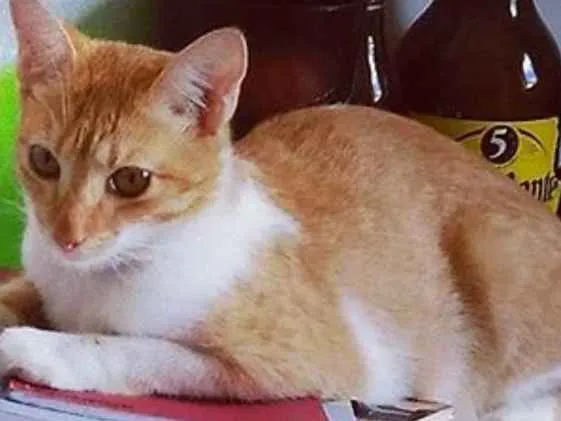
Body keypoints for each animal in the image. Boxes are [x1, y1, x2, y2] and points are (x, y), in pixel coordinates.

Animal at [3, 0, 561, 420]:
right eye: (43, 161)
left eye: (130, 180)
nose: (66, 236)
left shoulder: (309, 363)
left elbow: (139, 350)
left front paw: (38, 348)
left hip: (494, 254)